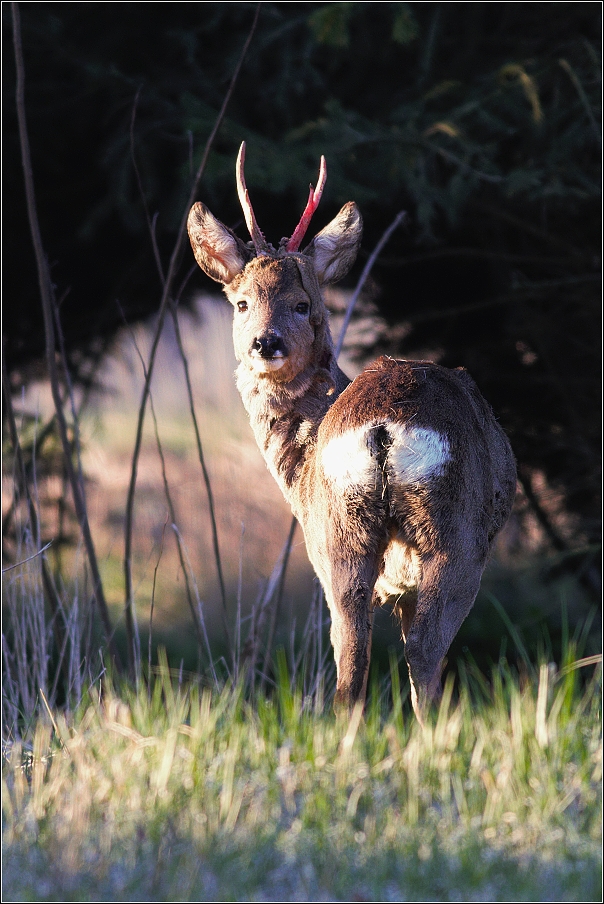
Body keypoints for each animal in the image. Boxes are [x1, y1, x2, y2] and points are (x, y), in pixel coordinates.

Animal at [188, 141, 516, 720]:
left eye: (303, 304)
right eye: (242, 302)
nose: (265, 343)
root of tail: (383, 428)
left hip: (340, 536)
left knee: (352, 663)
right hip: (454, 536)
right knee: (423, 658)